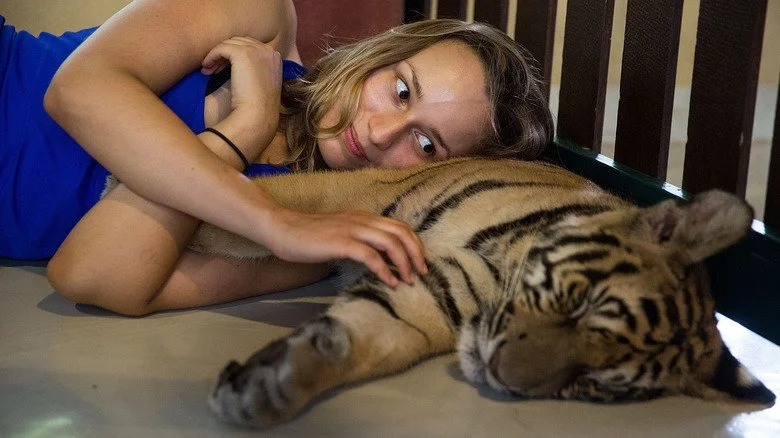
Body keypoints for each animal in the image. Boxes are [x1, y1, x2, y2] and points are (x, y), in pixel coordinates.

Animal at [188, 156, 775, 428]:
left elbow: (362, 338)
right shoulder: (356, 195)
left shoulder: (426, 295)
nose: (499, 375)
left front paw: (271, 388)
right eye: (581, 307)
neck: (501, 266)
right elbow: (251, 203)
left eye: (591, 381)